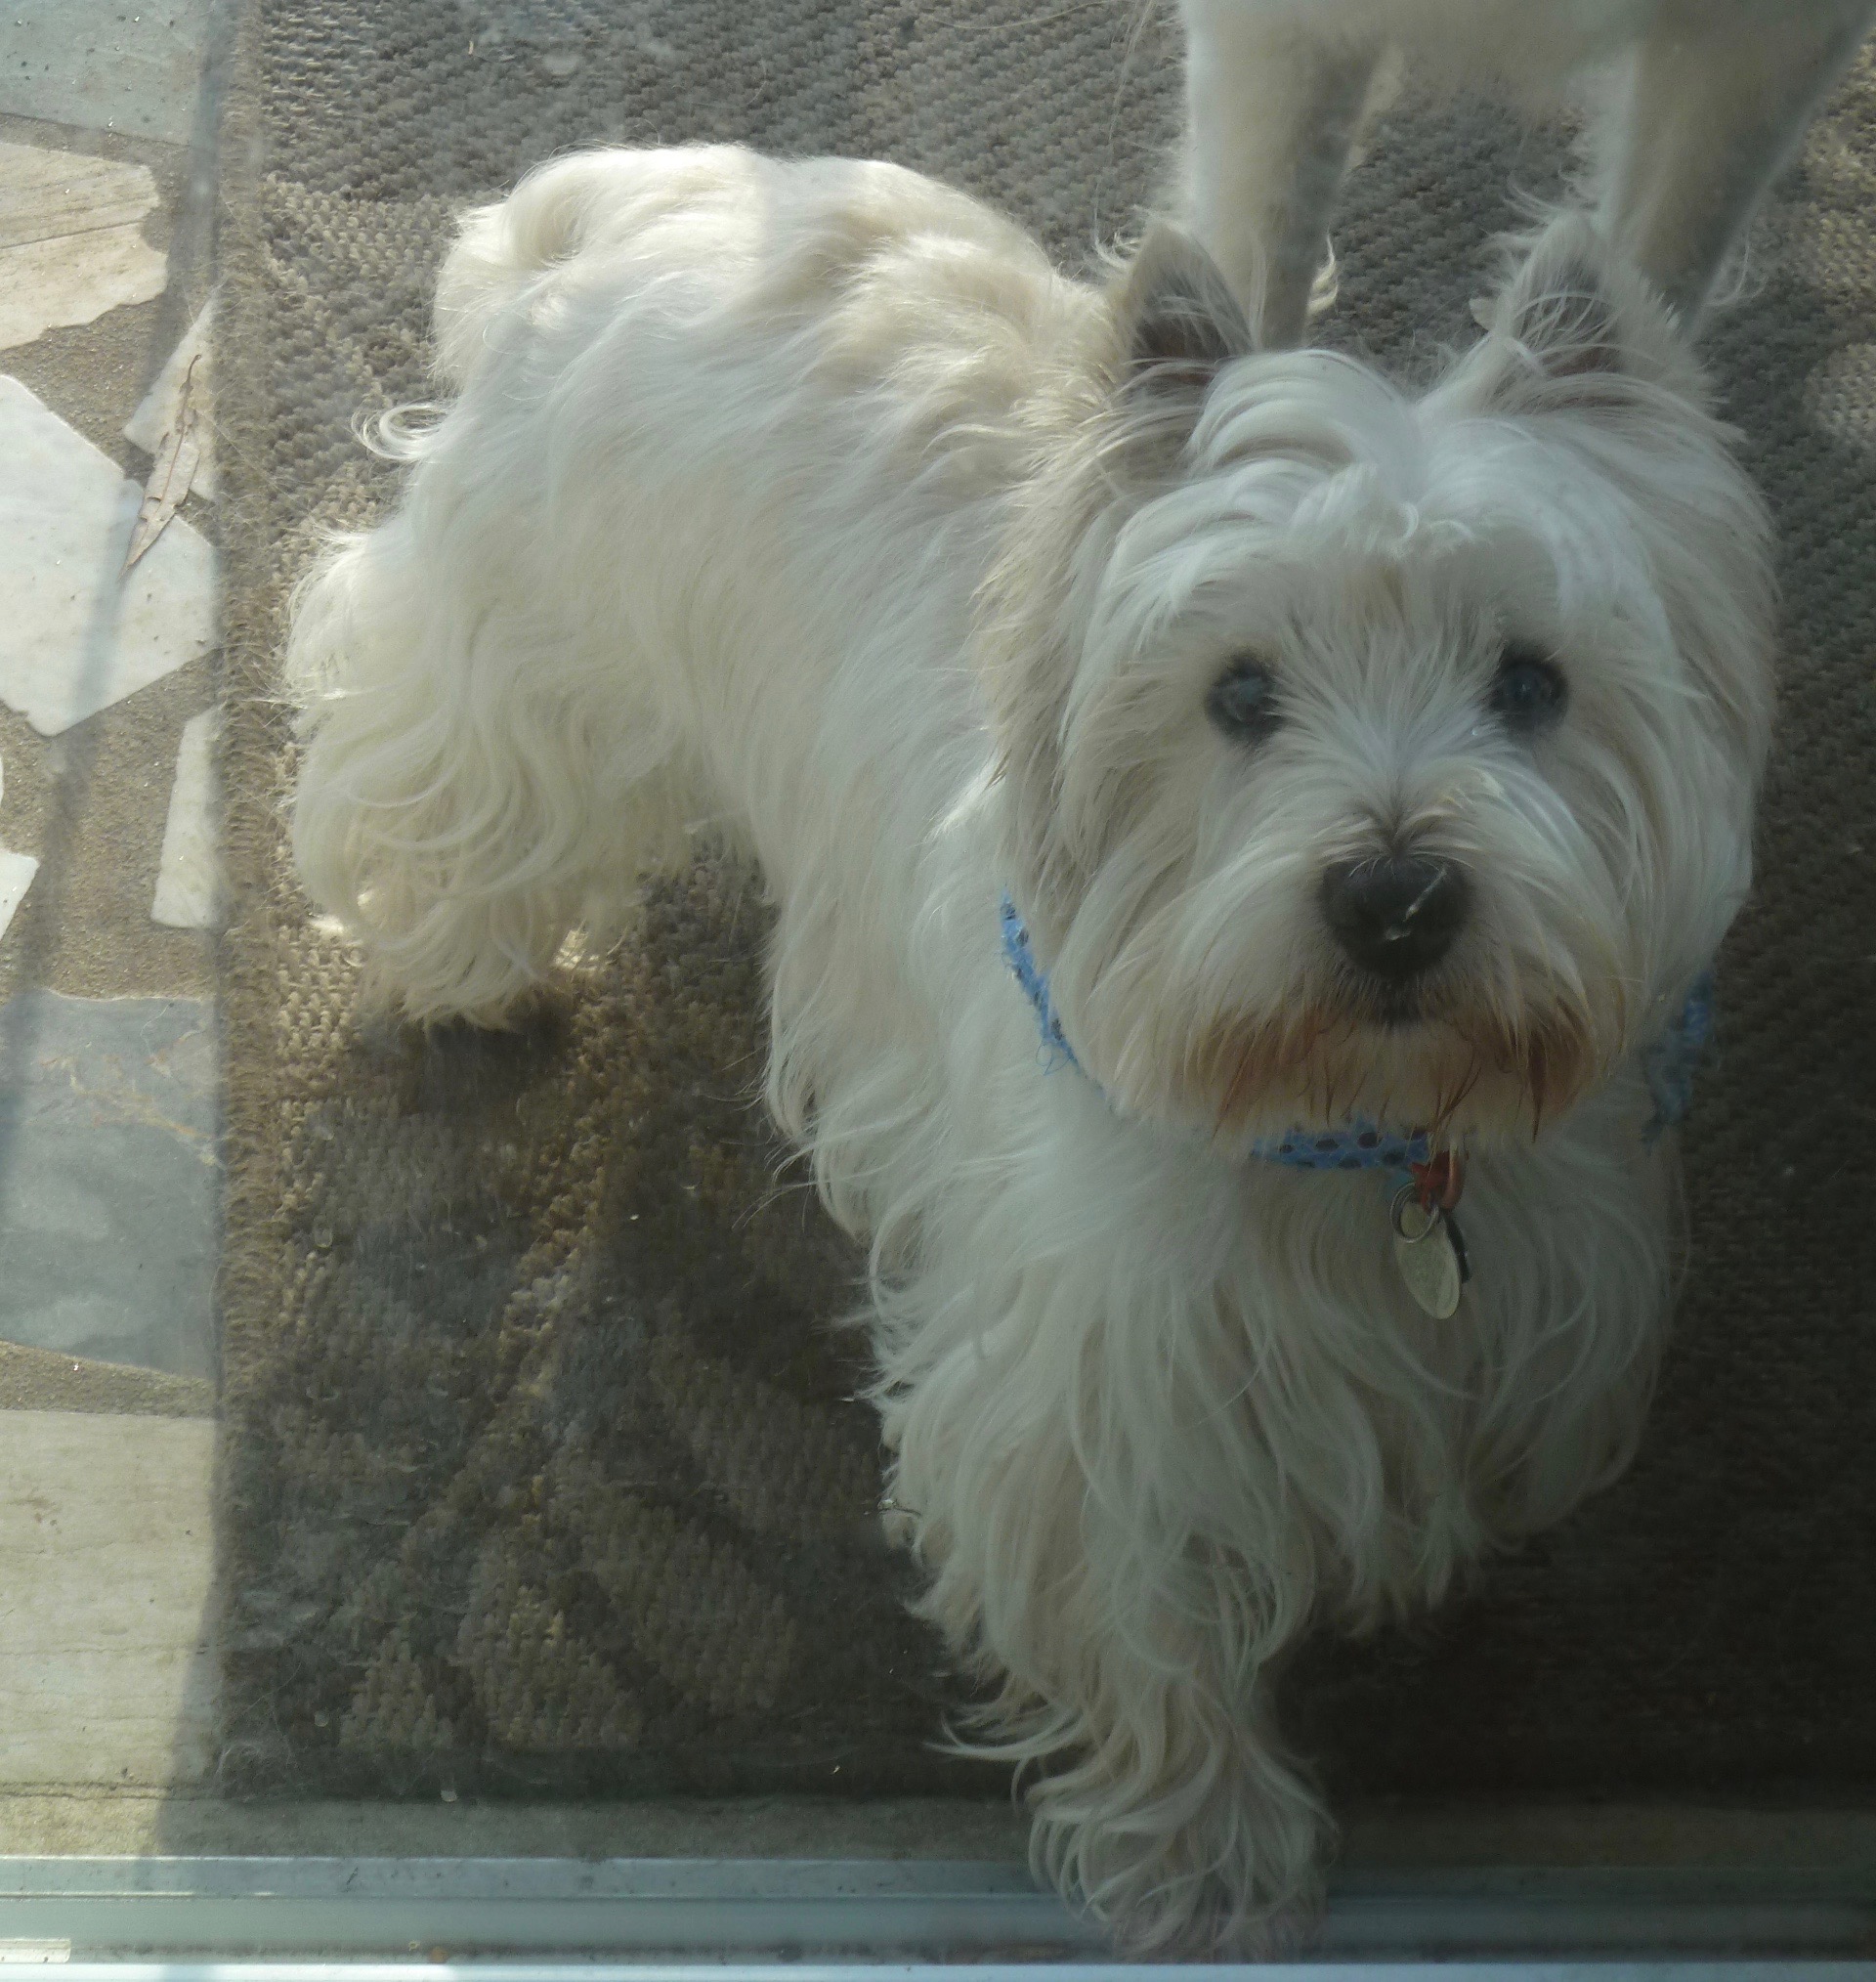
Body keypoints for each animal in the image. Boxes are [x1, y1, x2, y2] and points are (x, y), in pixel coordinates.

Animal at [287, 145, 1775, 1950]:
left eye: (1535, 681)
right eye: (1239, 693)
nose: (1399, 900)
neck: (1352, 1128)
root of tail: (627, 194)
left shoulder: (1550, 1292)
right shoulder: (1092, 1383)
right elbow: (1142, 1632)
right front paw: (1206, 1867)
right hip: (529, 636)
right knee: (438, 761)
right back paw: (462, 969)